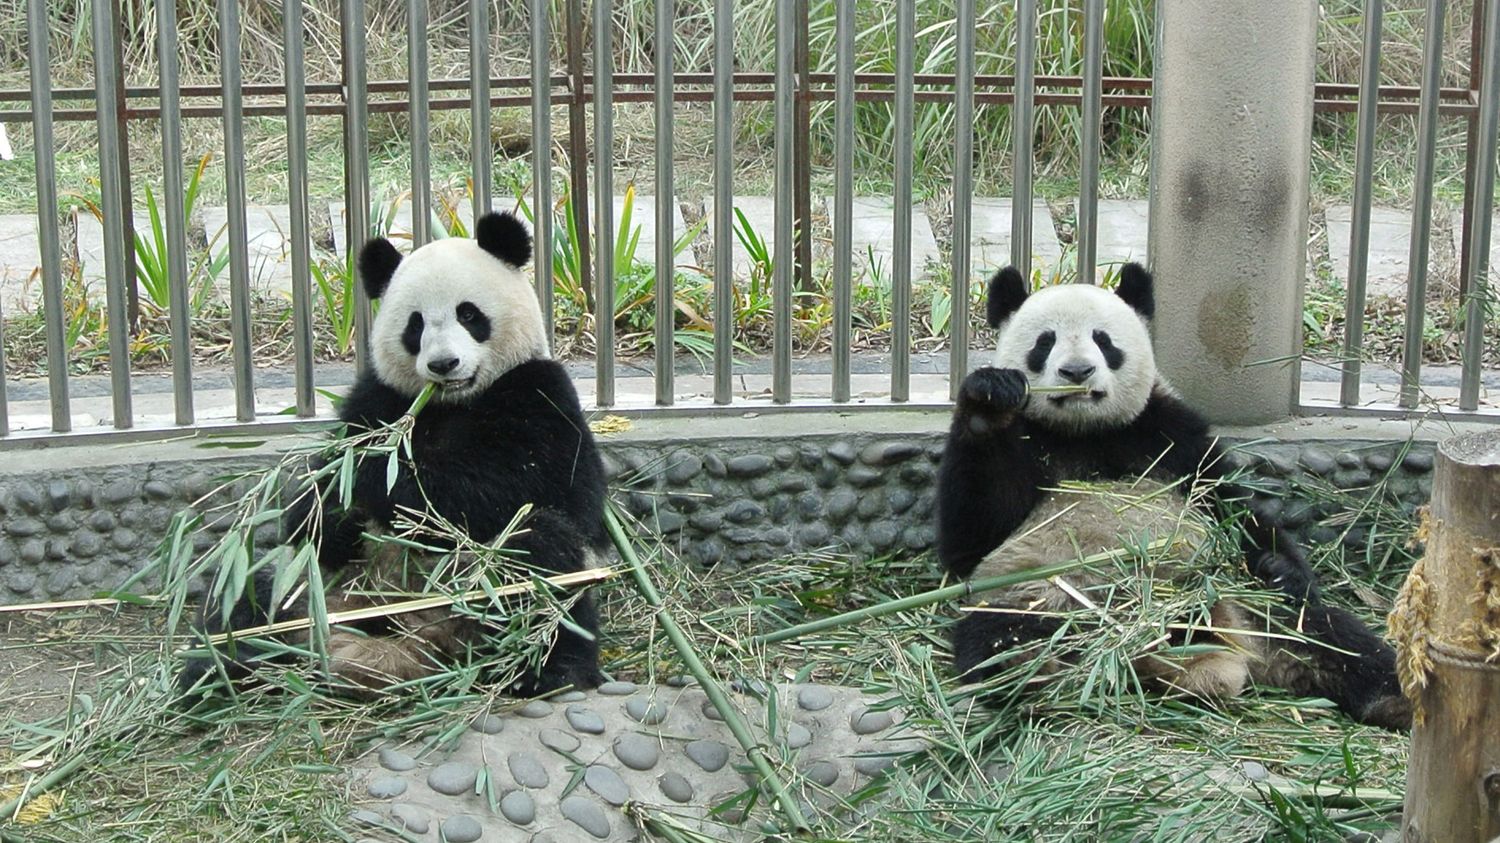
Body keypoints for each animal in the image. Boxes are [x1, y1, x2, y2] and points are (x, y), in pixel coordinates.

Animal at [184, 210, 606, 696]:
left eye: (468, 313)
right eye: (415, 325)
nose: (443, 365)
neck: (451, 402)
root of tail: (404, 652)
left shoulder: (538, 396)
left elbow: (498, 487)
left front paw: (372, 482)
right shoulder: (378, 400)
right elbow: (312, 515)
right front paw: (331, 501)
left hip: (490, 590)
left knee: (543, 560)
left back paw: (552, 671)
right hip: (306, 587)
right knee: (246, 589)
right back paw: (215, 671)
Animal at [942, 262, 1410, 729]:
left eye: (1103, 340)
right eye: (1045, 342)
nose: (1077, 372)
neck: (1086, 433)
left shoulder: (1171, 436)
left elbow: (1234, 509)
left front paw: (1282, 569)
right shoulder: (1028, 445)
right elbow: (972, 537)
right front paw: (989, 400)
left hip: (1249, 602)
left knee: (1329, 635)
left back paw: (1394, 696)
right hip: (1047, 596)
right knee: (1001, 634)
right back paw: (1031, 670)